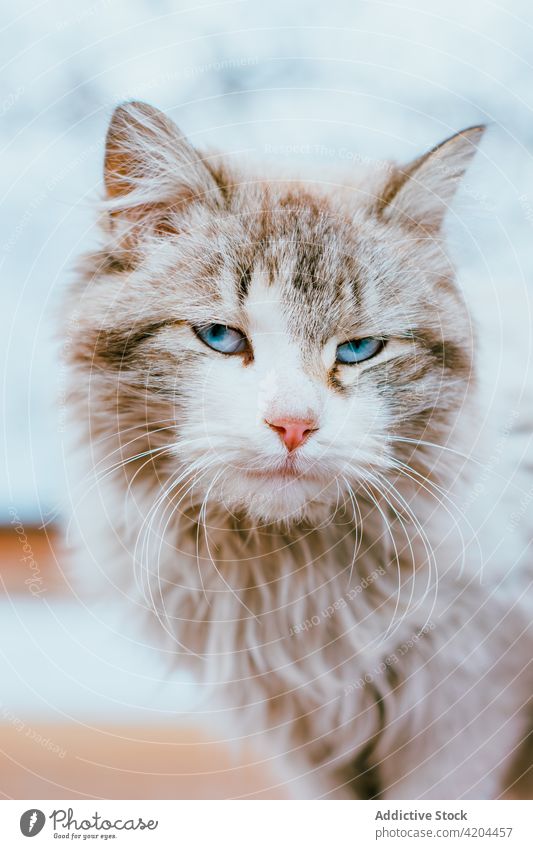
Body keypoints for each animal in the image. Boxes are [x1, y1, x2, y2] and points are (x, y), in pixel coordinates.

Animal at [63, 102, 532, 800]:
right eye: (220, 337)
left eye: (360, 350)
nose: (293, 426)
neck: (285, 569)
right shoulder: (301, 731)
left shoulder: (466, 698)